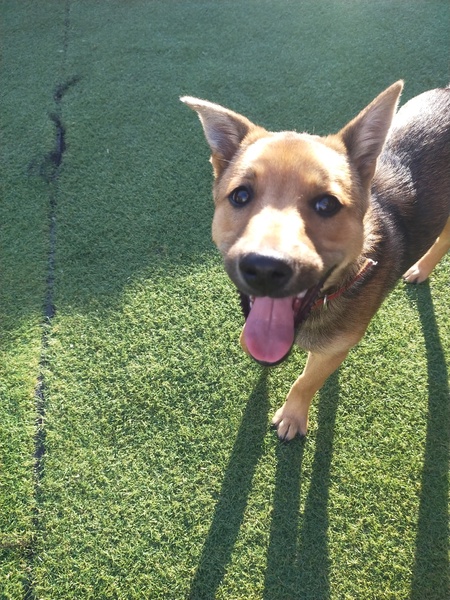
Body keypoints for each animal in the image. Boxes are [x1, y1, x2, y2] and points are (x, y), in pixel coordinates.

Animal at [181, 82, 450, 441]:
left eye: (327, 204)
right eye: (240, 196)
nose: (265, 268)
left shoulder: (334, 350)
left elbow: (306, 381)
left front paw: (292, 416)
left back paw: (421, 267)